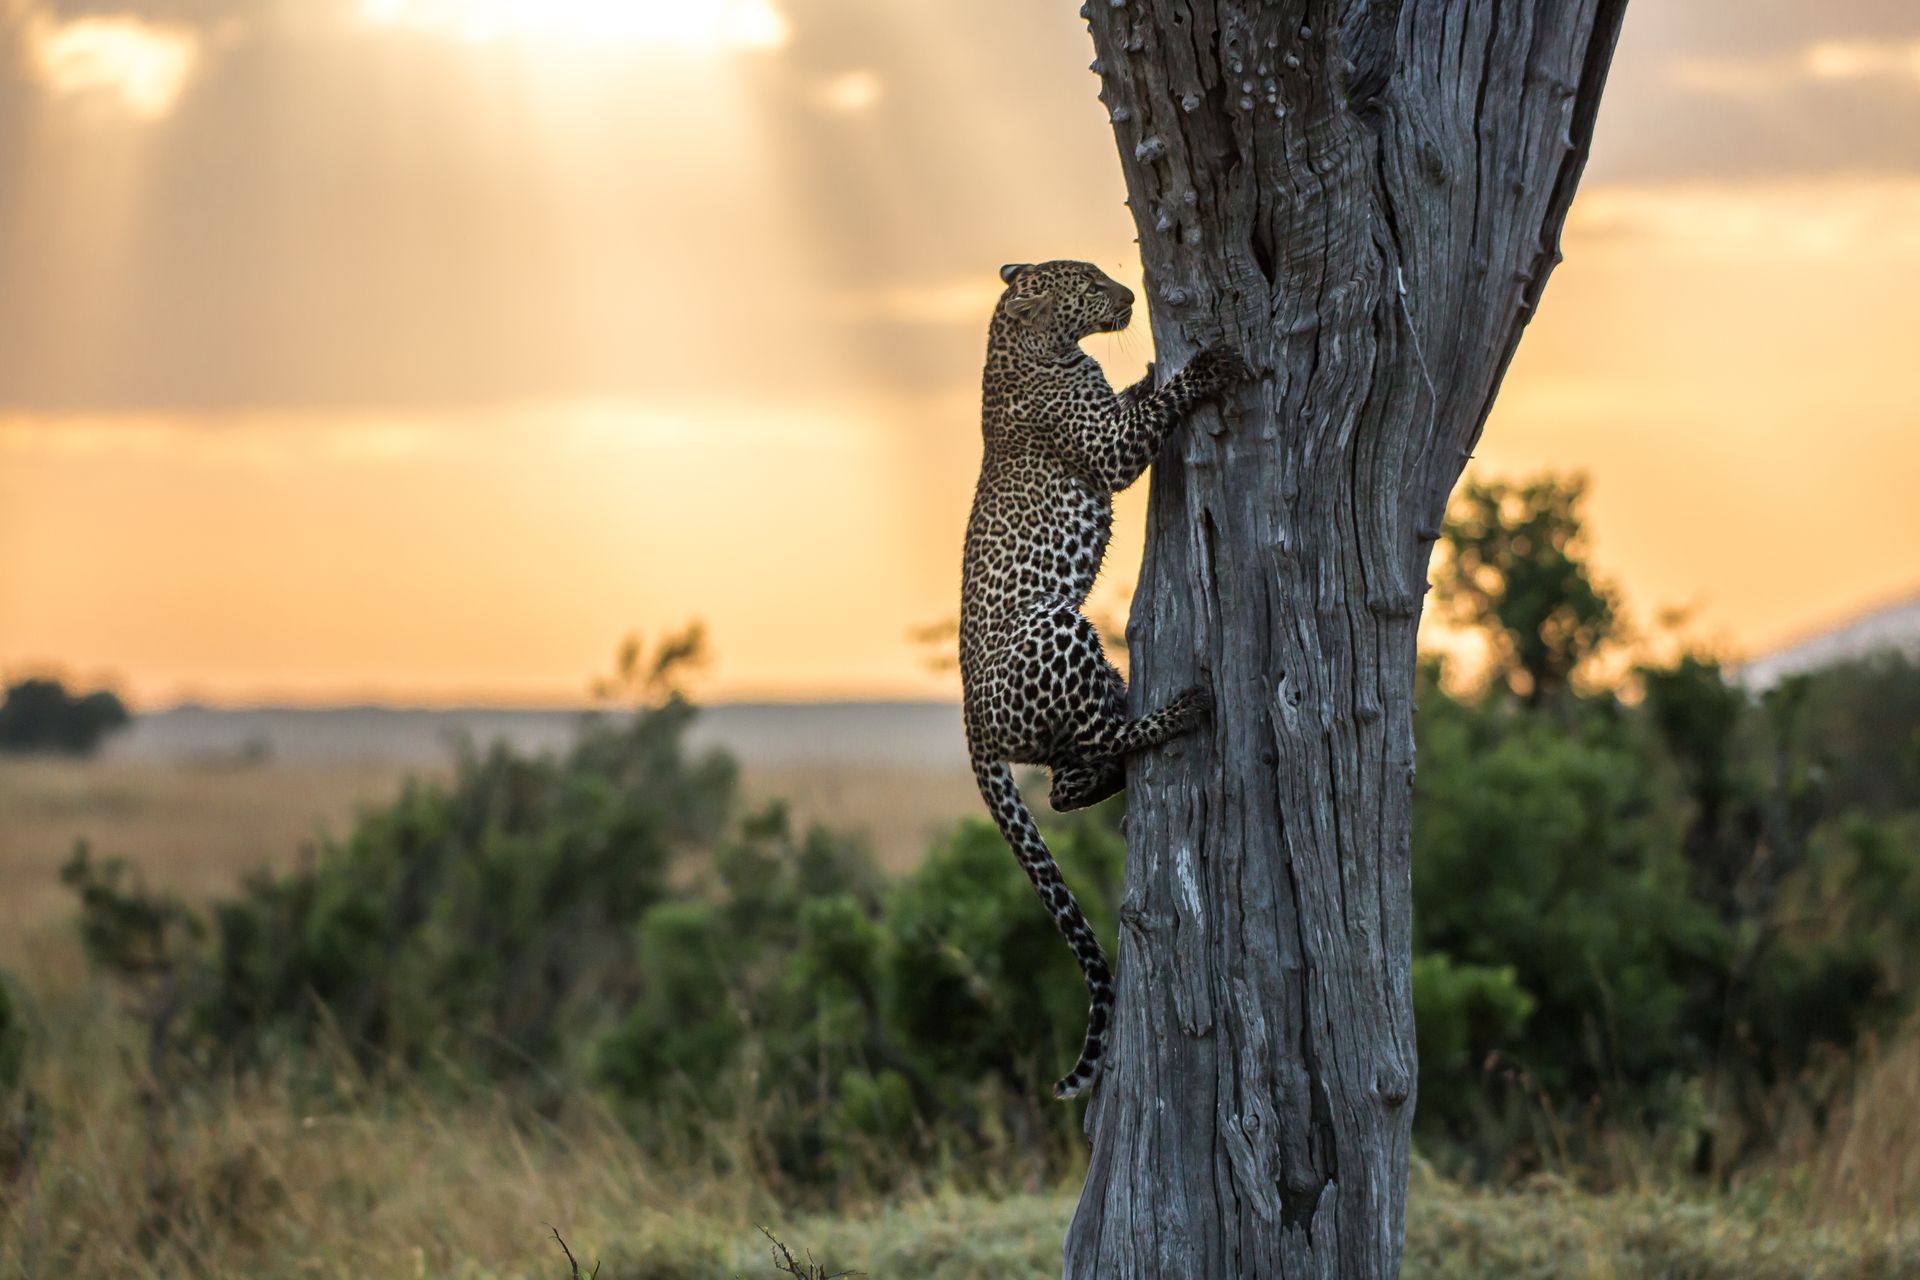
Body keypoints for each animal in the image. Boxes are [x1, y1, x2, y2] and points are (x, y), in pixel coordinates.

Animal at [960, 258, 1250, 1099]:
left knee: (1067, 777)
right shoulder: (1111, 448)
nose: (1126, 297)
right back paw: (1182, 710)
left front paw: (1149, 370)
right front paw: (1200, 368)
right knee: (1087, 755)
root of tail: (971, 726)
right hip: (1056, 629)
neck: (1031, 344)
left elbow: (1135, 398)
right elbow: (1154, 412)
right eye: (1088, 281)